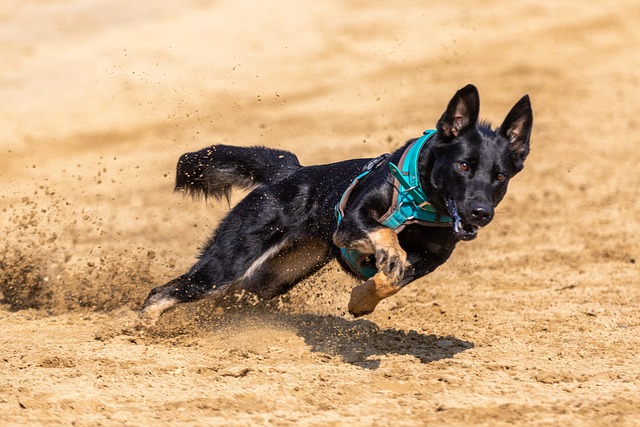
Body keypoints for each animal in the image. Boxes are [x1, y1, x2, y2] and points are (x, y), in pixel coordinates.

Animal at [139, 83, 528, 324]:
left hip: (275, 276)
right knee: (165, 291)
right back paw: (142, 327)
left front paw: (362, 298)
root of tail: (291, 173)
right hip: (229, 262)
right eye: (464, 166)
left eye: (500, 176)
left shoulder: (431, 259)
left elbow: (391, 280)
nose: (481, 213)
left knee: (230, 293)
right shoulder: (353, 219)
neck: (422, 199)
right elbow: (384, 235)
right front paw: (388, 254)